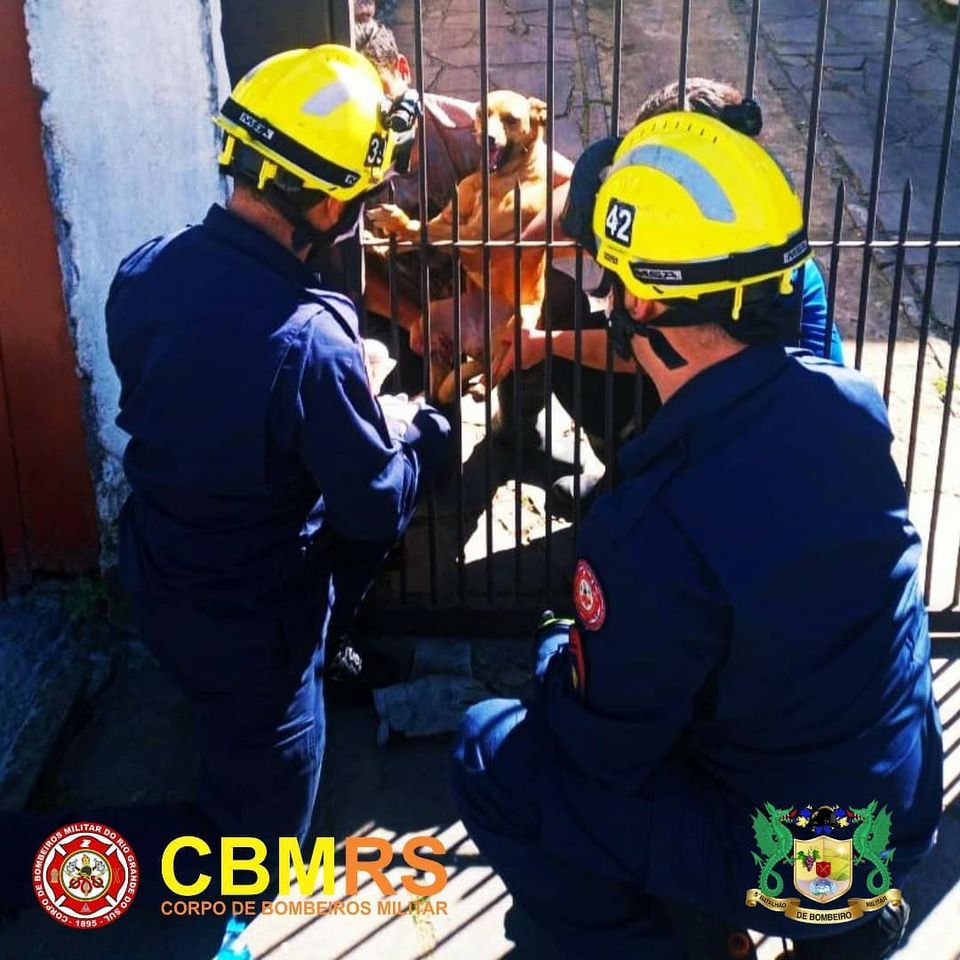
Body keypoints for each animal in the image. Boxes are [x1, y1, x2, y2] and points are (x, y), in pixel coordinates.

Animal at [366, 90, 548, 402]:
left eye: (512, 119)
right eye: (482, 113)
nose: (487, 138)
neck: (496, 179)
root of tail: (477, 342)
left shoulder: (473, 234)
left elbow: (421, 229)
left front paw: (395, 221)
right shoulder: (450, 219)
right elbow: (415, 235)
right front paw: (379, 241)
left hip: (517, 327)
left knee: (498, 365)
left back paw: (481, 385)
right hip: (430, 319)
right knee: (440, 357)